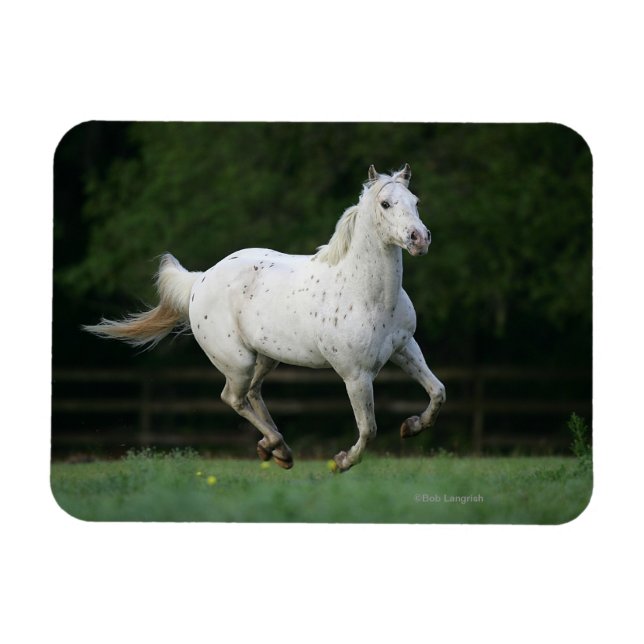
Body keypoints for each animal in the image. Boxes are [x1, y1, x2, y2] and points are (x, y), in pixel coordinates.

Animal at [84, 163, 446, 472]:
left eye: (415, 201)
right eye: (385, 204)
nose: (419, 238)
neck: (366, 294)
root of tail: (200, 280)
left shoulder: (404, 348)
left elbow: (438, 391)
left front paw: (411, 426)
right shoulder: (355, 375)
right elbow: (369, 428)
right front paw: (341, 461)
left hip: (266, 357)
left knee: (252, 393)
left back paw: (276, 449)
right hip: (238, 362)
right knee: (233, 397)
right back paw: (277, 447)